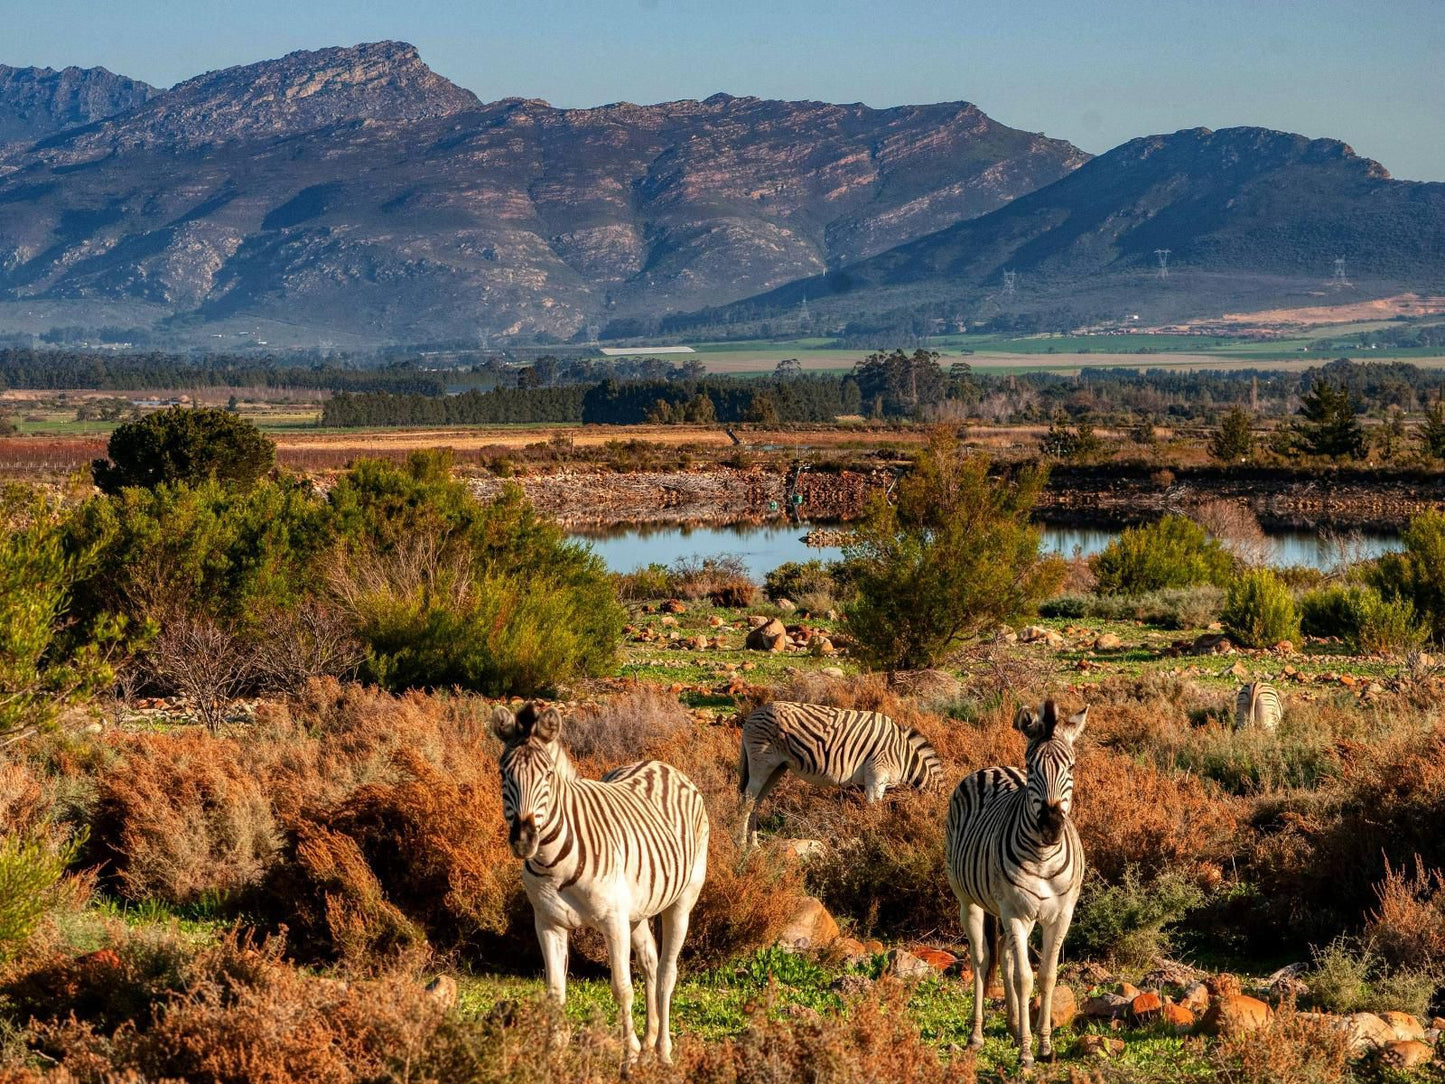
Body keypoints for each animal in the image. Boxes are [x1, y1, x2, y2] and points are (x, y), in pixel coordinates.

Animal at [494, 705, 708, 1069]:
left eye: (547, 775)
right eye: (502, 773)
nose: (524, 841)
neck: (553, 863)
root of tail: (661, 764)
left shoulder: (612, 920)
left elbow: (621, 987)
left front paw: (628, 1054)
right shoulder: (547, 922)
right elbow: (555, 991)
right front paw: (554, 1052)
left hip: (682, 899)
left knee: (667, 972)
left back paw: (662, 1050)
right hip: (637, 909)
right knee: (650, 961)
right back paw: (649, 1042)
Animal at [739, 705, 942, 849]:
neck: (904, 757)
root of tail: (753, 714)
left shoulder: (878, 782)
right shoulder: (875, 777)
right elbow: (872, 810)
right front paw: (872, 839)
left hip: (777, 768)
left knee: (756, 801)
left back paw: (755, 845)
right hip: (761, 762)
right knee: (747, 801)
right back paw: (741, 845)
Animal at [942, 705, 1086, 1069]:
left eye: (1072, 767)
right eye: (1032, 768)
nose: (1051, 826)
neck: (1044, 856)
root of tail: (992, 768)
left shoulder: (1060, 915)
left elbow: (1047, 976)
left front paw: (1044, 1045)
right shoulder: (1014, 913)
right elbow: (1025, 978)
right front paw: (1026, 1052)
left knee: (1005, 955)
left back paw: (1011, 1024)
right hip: (970, 901)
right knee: (981, 959)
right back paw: (977, 1034)